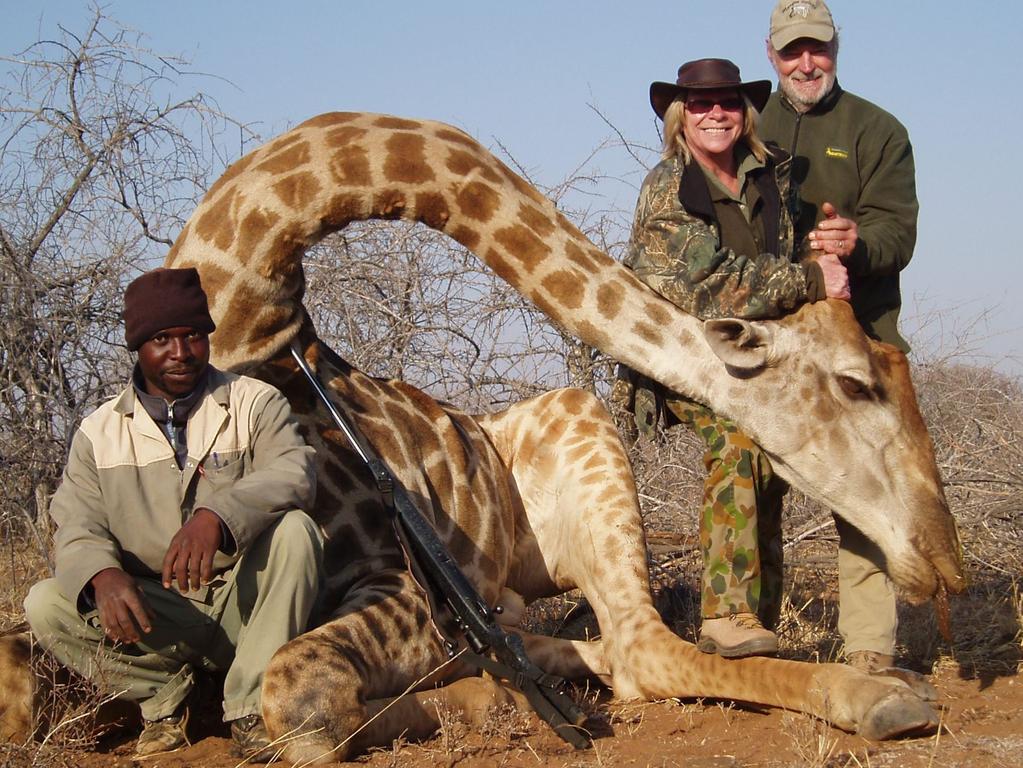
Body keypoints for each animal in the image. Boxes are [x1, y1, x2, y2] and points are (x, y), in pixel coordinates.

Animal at [0, 112, 961, 764]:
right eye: (857, 381)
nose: (940, 560)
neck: (246, 310)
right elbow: (25, 681)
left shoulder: (400, 593)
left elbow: (300, 705)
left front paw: (472, 700)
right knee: (604, 649)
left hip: (586, 440)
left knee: (643, 651)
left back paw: (880, 696)